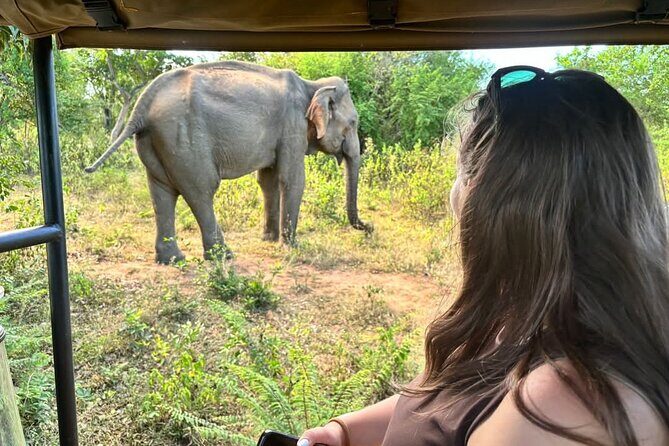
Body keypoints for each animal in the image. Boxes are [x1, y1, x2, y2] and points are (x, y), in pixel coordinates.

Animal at [85, 61, 370, 264]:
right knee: (201, 190)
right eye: (353, 122)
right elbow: (292, 179)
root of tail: (141, 106)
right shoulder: (292, 125)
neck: (312, 85)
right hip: (184, 140)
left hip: (155, 142)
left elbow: (268, 180)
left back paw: (172, 260)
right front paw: (291, 247)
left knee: (161, 192)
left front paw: (268, 240)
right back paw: (224, 256)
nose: (369, 228)